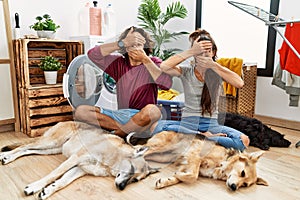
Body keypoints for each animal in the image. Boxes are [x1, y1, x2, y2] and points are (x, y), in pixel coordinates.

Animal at [0, 121, 158, 199]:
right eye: (131, 169)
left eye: (135, 180)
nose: (121, 188)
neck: (110, 161)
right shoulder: (75, 159)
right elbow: (53, 175)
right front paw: (35, 186)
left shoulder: (79, 169)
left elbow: (62, 182)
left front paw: (48, 190)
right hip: (50, 142)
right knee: (24, 146)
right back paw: (5, 156)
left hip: (51, 149)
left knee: (27, 150)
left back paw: (8, 157)